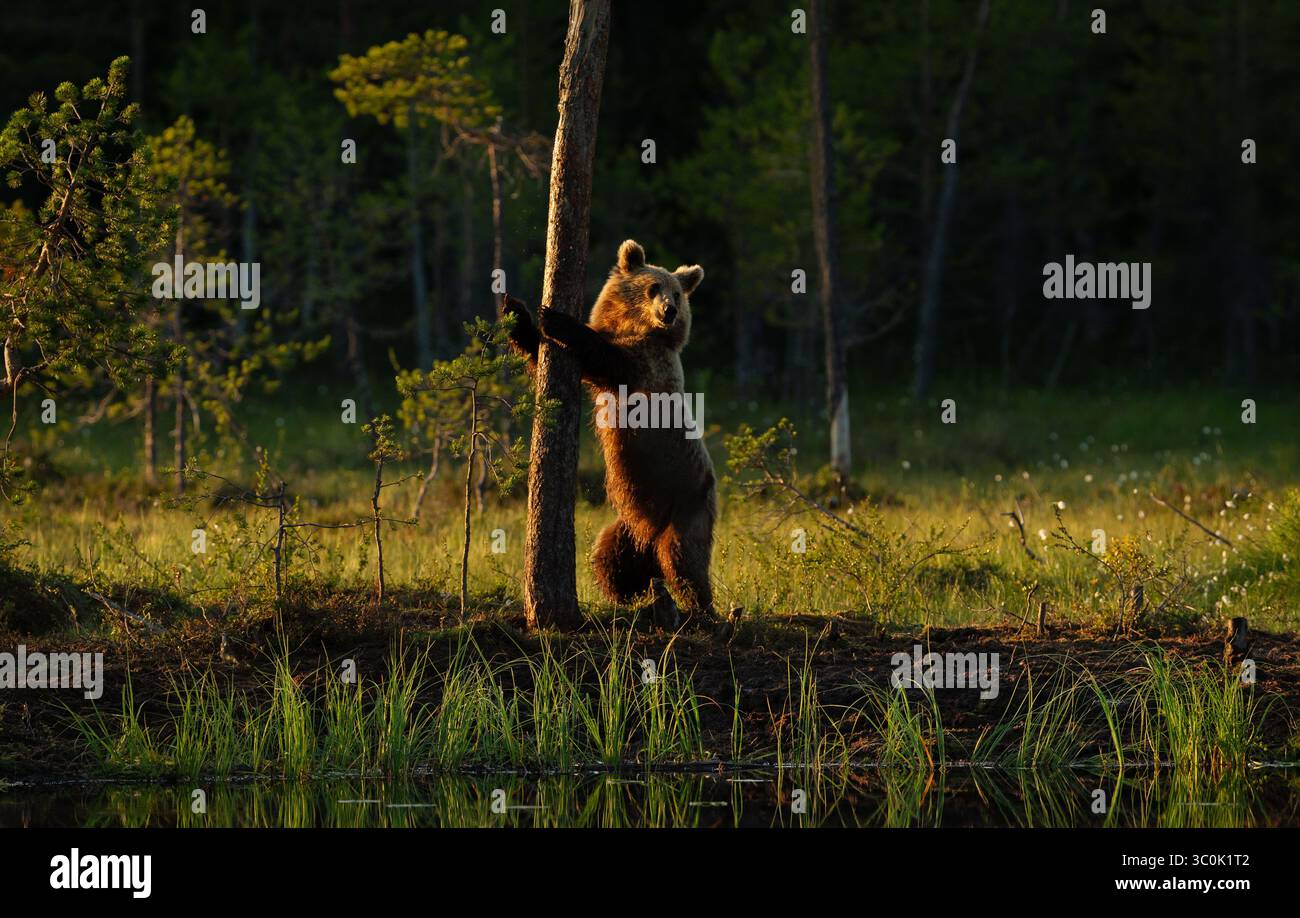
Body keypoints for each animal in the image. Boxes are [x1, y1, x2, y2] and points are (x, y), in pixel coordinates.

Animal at [503, 239, 715, 629]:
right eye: (653, 287)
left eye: (677, 292)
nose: (669, 311)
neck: (638, 328)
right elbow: (549, 358)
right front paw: (516, 310)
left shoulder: (645, 366)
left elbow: (604, 356)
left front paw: (557, 319)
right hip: (630, 526)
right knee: (609, 558)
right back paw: (636, 594)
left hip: (687, 506)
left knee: (685, 560)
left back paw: (701, 609)